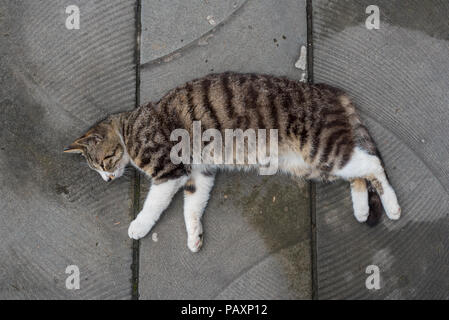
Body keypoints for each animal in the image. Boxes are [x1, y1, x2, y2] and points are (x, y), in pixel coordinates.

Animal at [63, 72, 400, 252]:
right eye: (96, 169)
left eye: (105, 161)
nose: (107, 179)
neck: (129, 126)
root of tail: (330, 90)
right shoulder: (199, 174)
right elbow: (192, 207)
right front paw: (194, 236)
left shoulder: (169, 171)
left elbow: (153, 205)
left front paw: (138, 226)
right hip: (315, 164)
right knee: (358, 174)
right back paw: (361, 209)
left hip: (322, 150)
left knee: (373, 165)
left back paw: (393, 206)